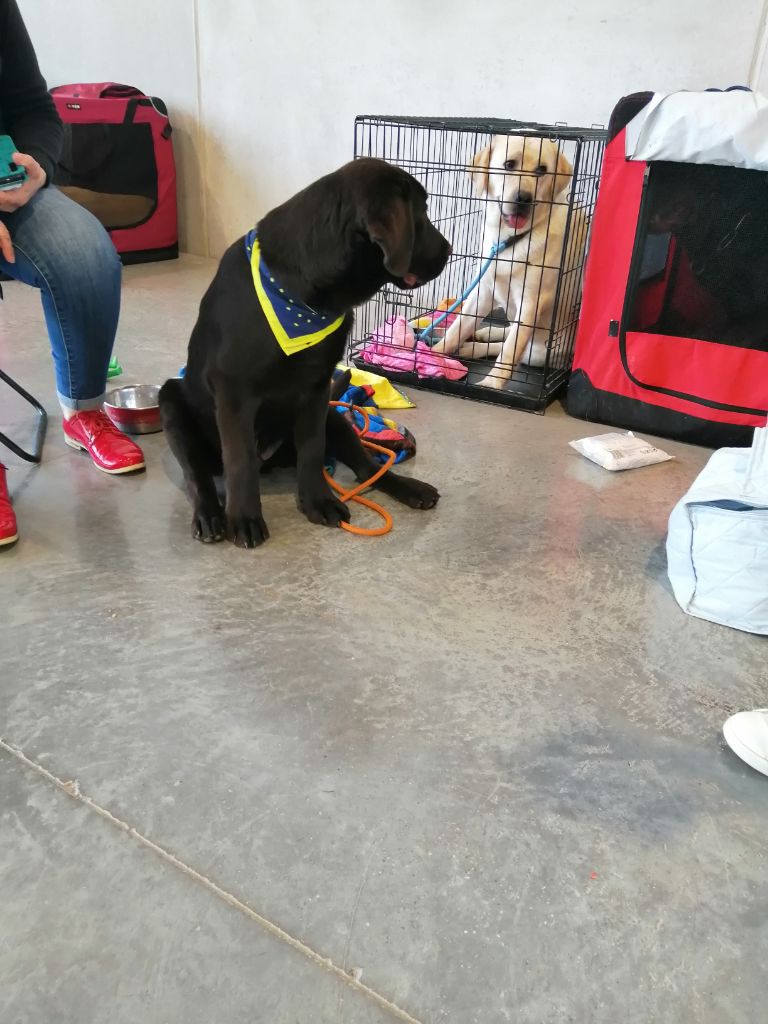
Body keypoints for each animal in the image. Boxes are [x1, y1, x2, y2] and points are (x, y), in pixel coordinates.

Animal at [159, 157, 454, 544]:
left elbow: (312, 450)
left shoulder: (316, 389)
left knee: (367, 468)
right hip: (171, 402)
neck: (303, 296)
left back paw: (410, 488)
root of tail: (272, 461)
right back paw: (210, 516)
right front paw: (244, 518)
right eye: (419, 213)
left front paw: (318, 502)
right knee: (199, 475)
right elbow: (239, 460)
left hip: (335, 416)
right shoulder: (234, 391)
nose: (449, 251)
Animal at [430, 135, 585, 387]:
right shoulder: (482, 291)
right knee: (505, 333)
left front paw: (491, 384)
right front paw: (429, 355)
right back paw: (481, 337)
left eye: (542, 170)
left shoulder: (530, 304)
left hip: (541, 350)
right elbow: (457, 328)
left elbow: (510, 353)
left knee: (516, 347)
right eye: (509, 165)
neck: (510, 239)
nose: (524, 198)